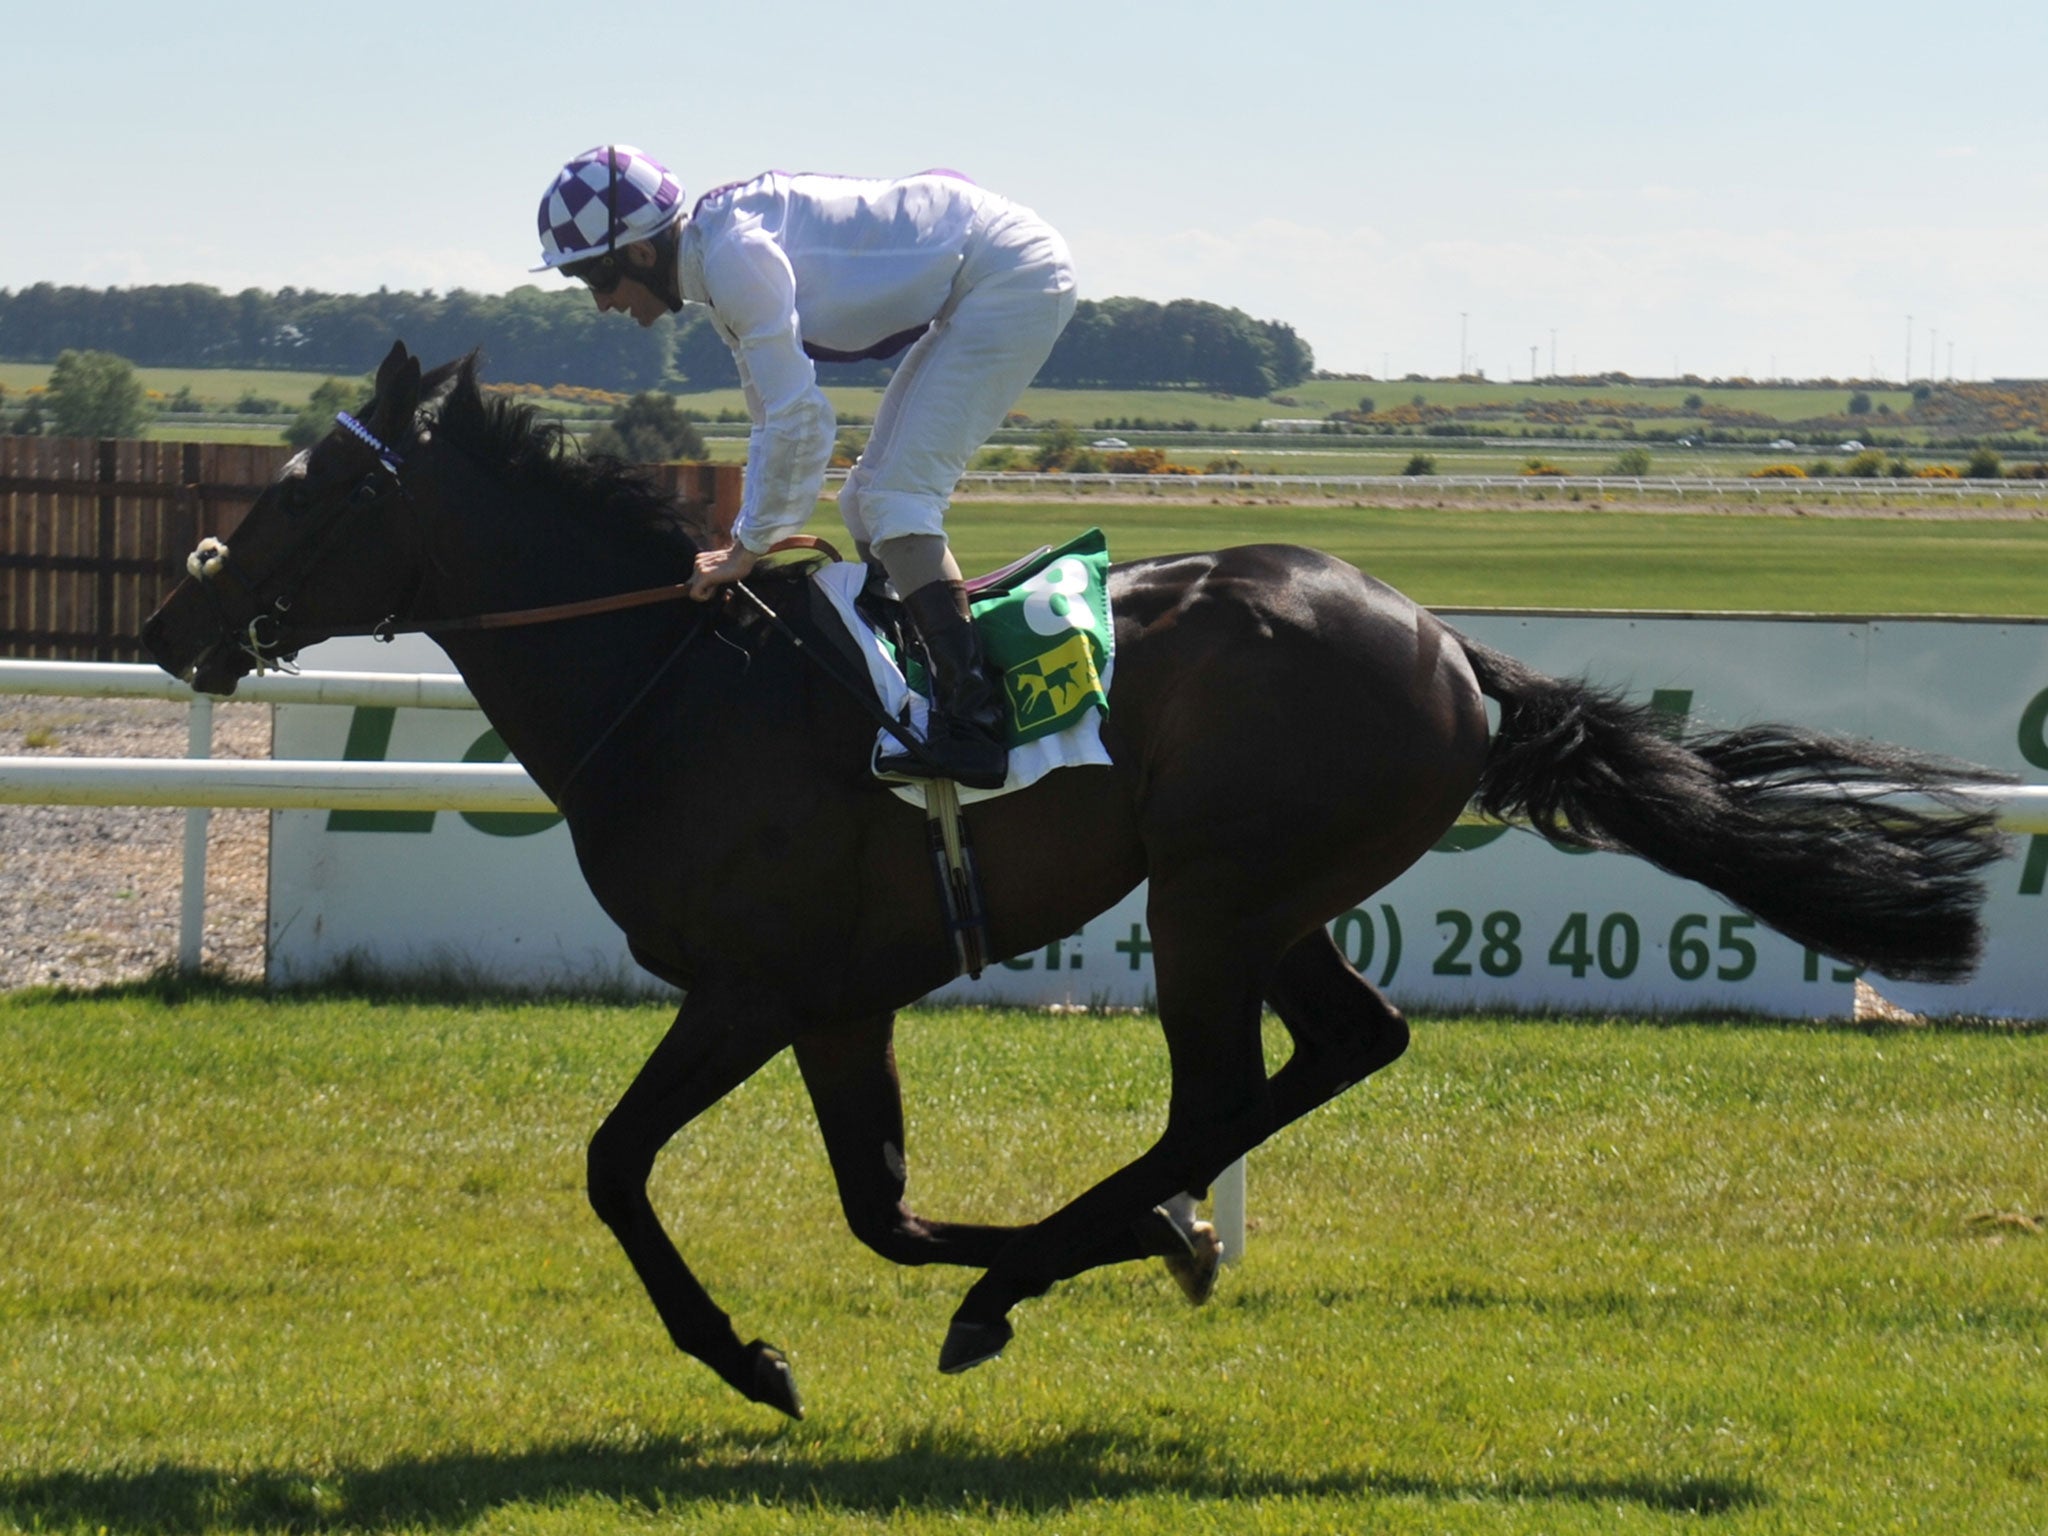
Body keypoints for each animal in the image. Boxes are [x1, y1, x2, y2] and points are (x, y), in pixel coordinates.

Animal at [144, 346, 2015, 1417]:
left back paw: (1038, 1274)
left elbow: (617, 1167)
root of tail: (1442, 645)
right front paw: (1134, 1251)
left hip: (1212, 898)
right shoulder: (842, 1001)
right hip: (1265, 899)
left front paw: (754, 1358)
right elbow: (877, 1209)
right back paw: (1105, 1241)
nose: (171, 619)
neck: (677, 686)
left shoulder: (751, 988)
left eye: (304, 489)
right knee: (1339, 1048)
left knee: (1225, 1089)